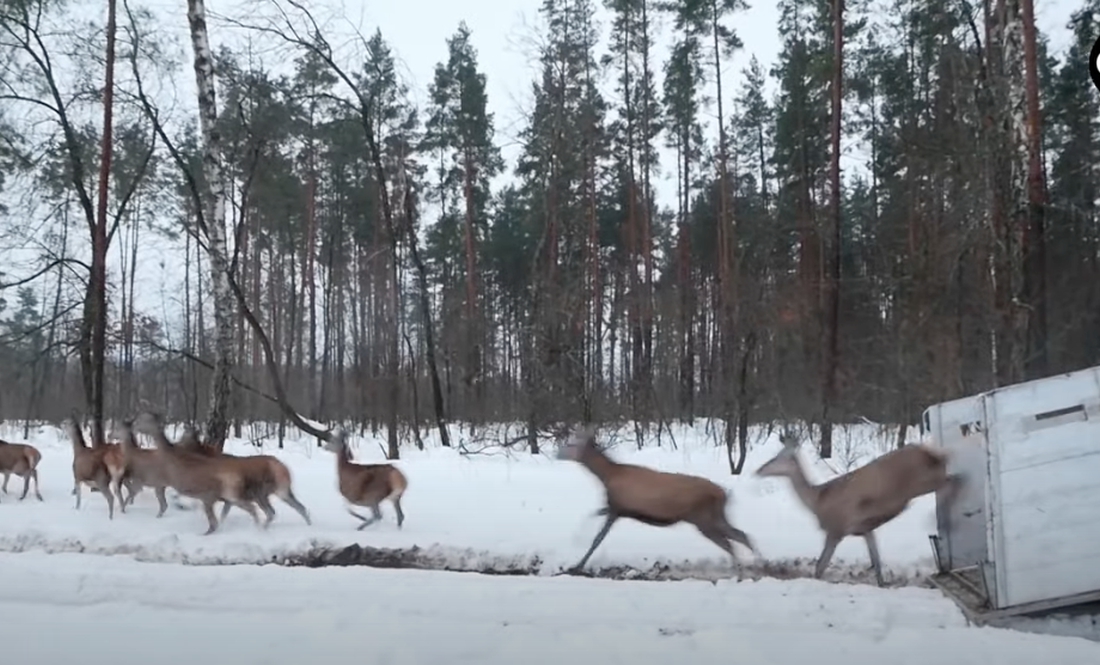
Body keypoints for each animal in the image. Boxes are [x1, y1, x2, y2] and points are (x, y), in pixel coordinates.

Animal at [554, 428, 752, 571]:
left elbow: (597, 539)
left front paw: (577, 565)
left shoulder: (616, 508)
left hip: (702, 518)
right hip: (713, 516)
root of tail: (724, 494)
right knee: (740, 535)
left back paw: (741, 567)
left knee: (729, 541)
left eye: (571, 443)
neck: (606, 476)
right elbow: (594, 514)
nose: (557, 453)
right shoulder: (616, 508)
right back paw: (753, 563)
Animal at [752, 424, 968, 584]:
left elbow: (820, 566)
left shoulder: (836, 529)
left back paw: (940, 520)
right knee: (954, 480)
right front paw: (882, 583)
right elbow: (876, 562)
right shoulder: (865, 528)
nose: (758, 470)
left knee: (955, 480)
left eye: (779, 457)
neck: (817, 500)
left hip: (920, 482)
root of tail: (931, 453)